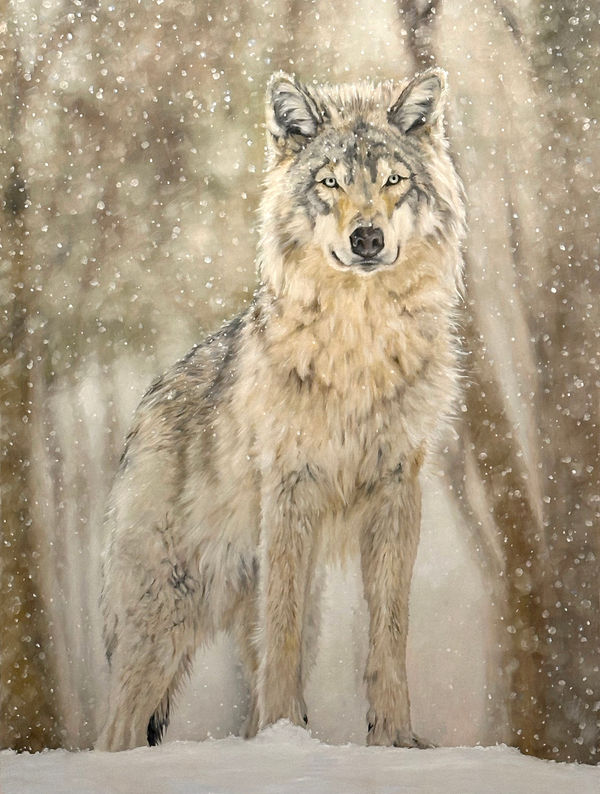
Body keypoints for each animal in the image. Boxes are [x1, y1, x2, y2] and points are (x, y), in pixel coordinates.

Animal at [95, 67, 465, 752]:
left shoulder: (399, 488)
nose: (366, 237)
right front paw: (284, 734)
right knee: (119, 725)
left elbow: (389, 632)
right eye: (330, 182)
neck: (357, 347)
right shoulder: (290, 488)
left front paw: (395, 739)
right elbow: (283, 636)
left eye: (393, 181)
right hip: (162, 617)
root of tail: (146, 406)